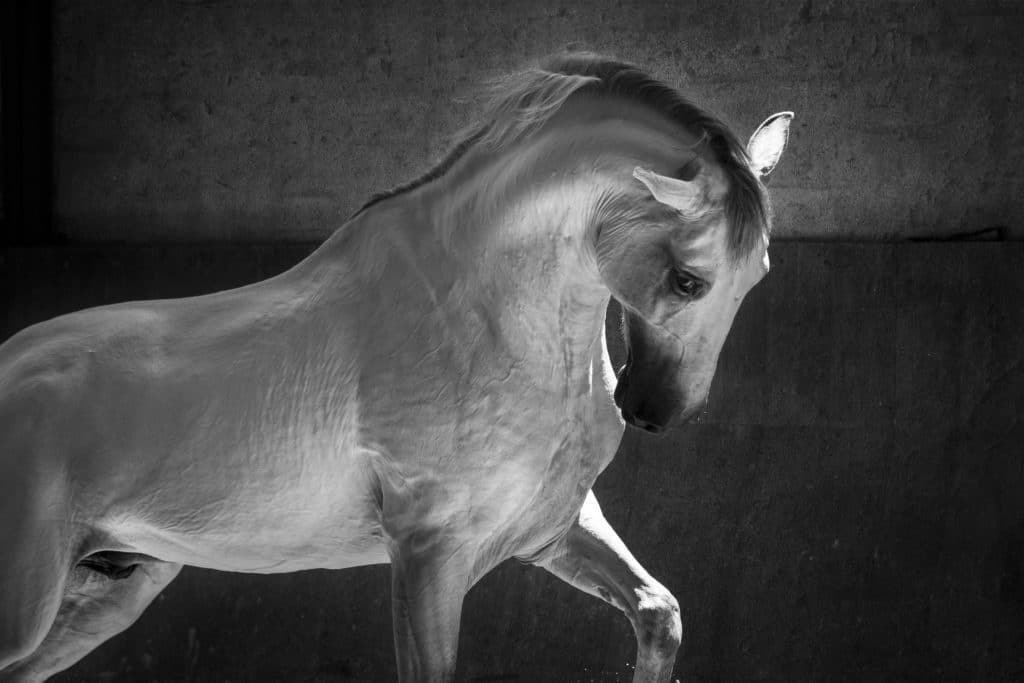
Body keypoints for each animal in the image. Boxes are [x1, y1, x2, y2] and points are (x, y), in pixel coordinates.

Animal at [0, 54, 790, 683]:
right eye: (688, 280)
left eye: (759, 273)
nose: (657, 410)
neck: (486, 320)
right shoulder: (428, 550)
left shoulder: (551, 529)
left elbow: (660, 612)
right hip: (27, 608)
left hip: (106, 592)